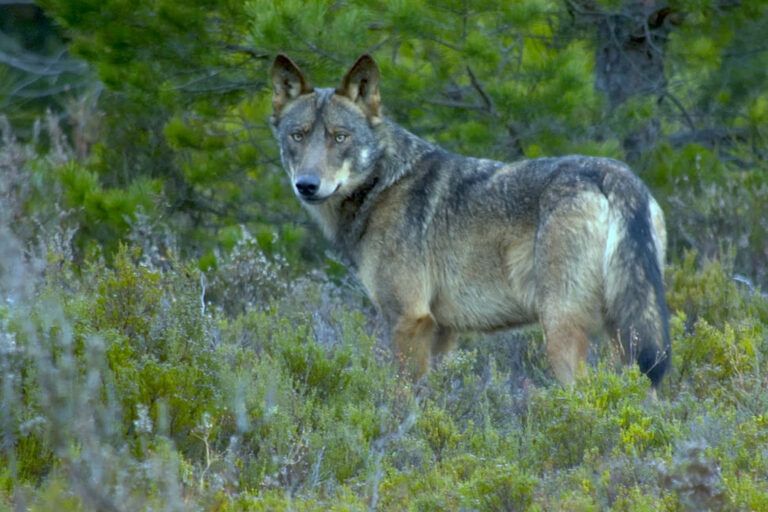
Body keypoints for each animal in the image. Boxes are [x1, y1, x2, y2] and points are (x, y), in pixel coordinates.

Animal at [269, 53, 671, 388]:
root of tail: (615, 173)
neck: (383, 184)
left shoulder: (408, 320)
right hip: (625, 336)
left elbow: (400, 400)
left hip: (561, 331)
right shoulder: (443, 331)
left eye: (340, 137)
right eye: (298, 136)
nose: (307, 185)